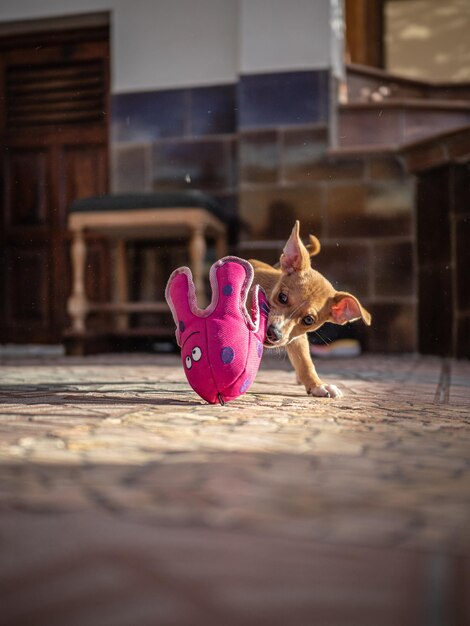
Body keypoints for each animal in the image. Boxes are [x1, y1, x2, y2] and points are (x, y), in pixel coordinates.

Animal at [250, 221, 370, 394]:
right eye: (282, 297)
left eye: (308, 320)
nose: (274, 333)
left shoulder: (296, 338)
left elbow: (305, 363)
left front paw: (317, 385)